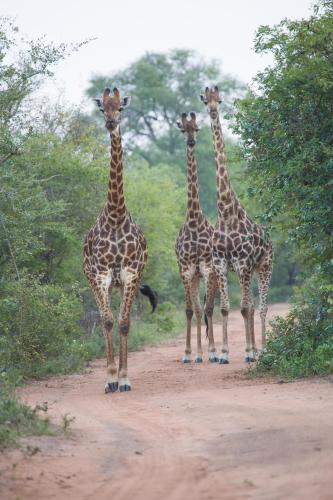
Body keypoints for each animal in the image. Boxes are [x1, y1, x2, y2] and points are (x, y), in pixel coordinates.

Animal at [200, 87, 272, 364]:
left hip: (263, 267)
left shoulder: (242, 262)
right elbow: (225, 308)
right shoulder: (221, 263)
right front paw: (223, 354)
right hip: (249, 270)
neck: (226, 211)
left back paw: (263, 350)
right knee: (251, 306)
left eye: (219, 100)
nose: (212, 111)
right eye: (204, 100)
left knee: (260, 307)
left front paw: (250, 353)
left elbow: (244, 307)